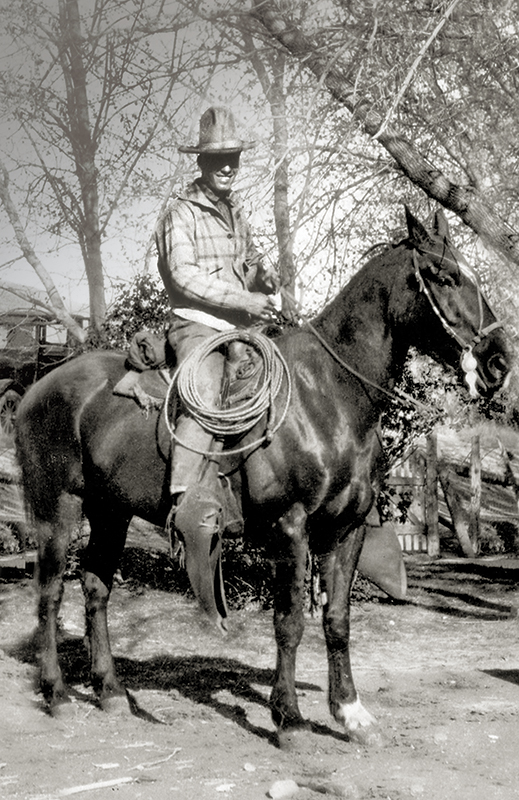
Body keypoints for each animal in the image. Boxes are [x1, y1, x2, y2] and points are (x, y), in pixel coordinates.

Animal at [15, 207, 510, 746]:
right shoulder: (289, 527)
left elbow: (337, 619)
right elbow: (289, 622)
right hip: (58, 507)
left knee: (95, 588)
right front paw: (288, 718)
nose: (499, 361)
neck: (327, 396)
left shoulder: (346, 530)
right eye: (445, 276)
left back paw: (109, 690)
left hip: (110, 512)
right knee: (50, 591)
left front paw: (349, 712)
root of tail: (37, 388)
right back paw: (57, 693)